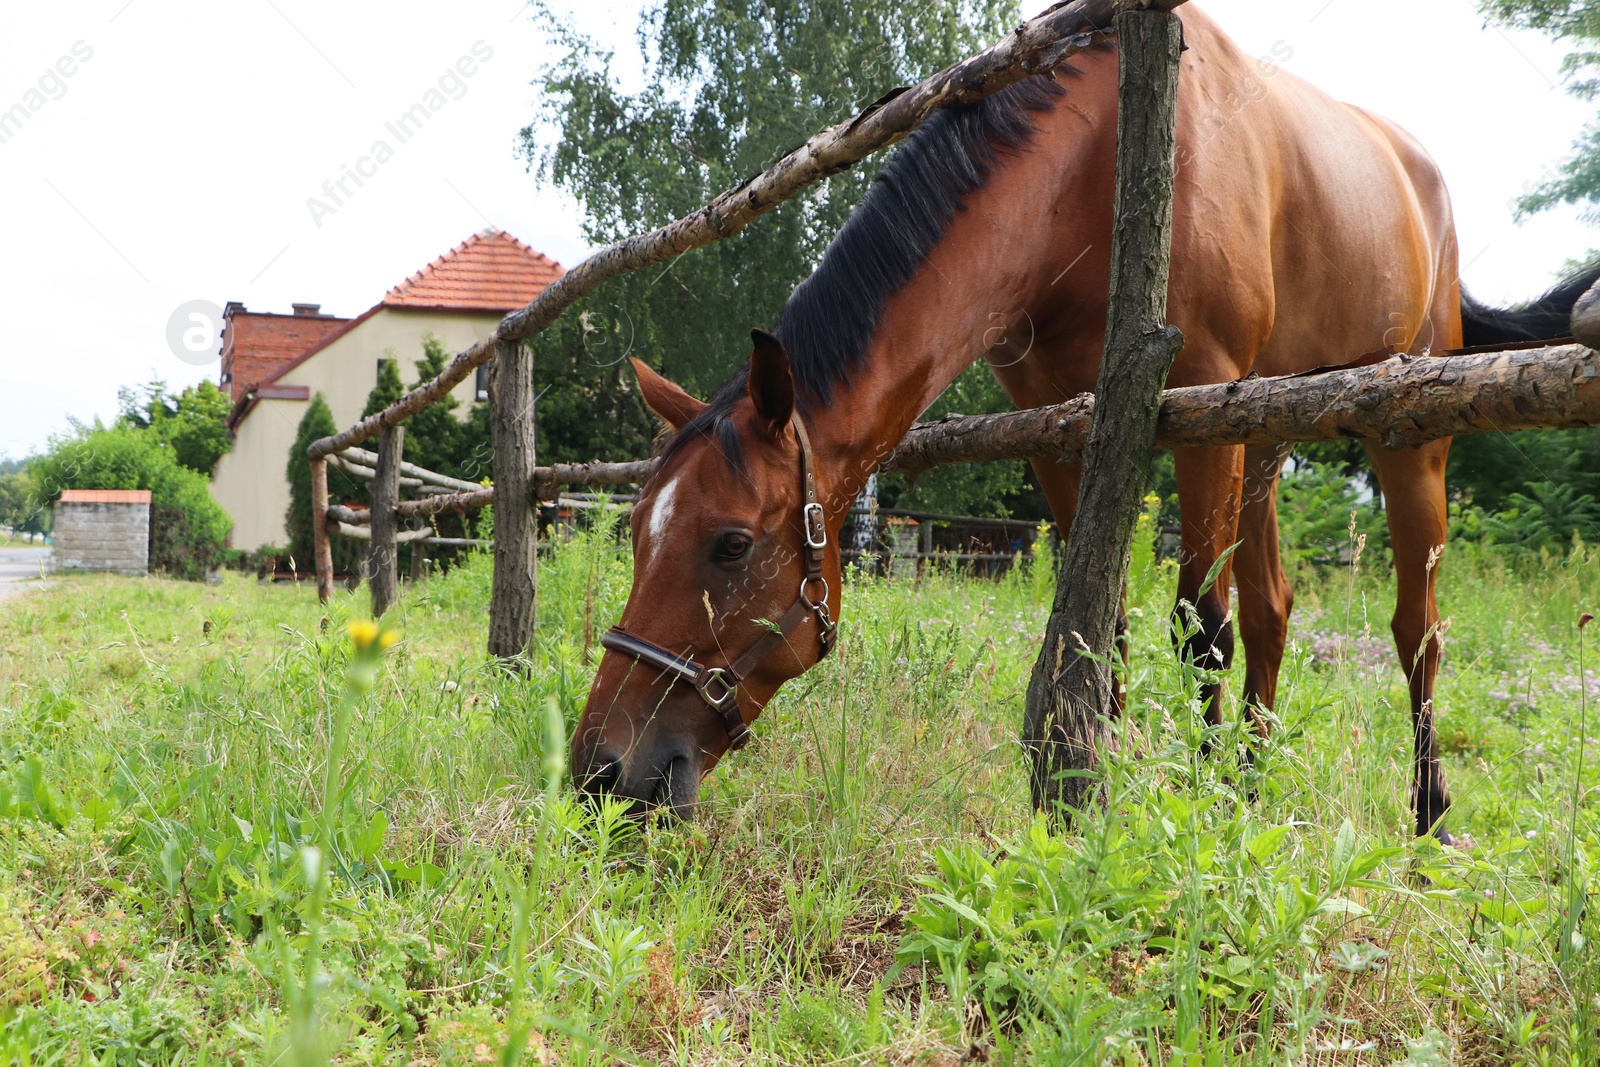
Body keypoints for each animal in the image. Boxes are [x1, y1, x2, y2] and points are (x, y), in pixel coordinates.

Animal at [572, 6, 1587, 844]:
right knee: (1275, 613)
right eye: (637, 530)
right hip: (1265, 436)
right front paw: (1100, 789)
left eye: (731, 544)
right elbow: (1106, 632)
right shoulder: (1061, 426)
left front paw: (1179, 807)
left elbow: (1199, 627)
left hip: (1403, 438)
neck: (1097, 165)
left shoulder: (1201, 404)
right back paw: (1248, 790)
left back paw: (1426, 814)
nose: (601, 772)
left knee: (1415, 629)